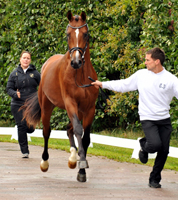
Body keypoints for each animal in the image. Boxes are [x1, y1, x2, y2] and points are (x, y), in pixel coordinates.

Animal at [22, 11, 98, 183]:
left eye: (85, 34)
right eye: (67, 34)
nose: (76, 62)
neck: (80, 76)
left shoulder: (89, 108)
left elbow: (86, 137)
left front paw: (81, 167)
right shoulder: (70, 103)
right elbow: (78, 130)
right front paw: (81, 164)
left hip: (79, 111)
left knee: (69, 129)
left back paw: (72, 158)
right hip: (47, 106)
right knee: (47, 131)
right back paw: (45, 162)